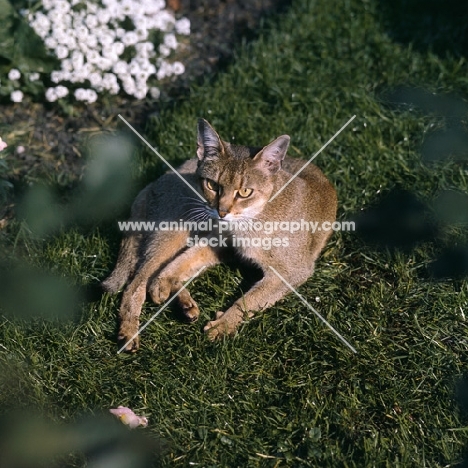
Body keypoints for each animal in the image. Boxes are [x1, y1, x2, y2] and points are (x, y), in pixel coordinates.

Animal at [102, 118, 336, 352]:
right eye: (212, 185)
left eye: (245, 192)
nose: (222, 212)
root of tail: (151, 183)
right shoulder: (220, 240)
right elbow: (183, 261)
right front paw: (164, 281)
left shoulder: (290, 270)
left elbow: (251, 298)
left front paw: (223, 324)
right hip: (178, 229)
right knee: (136, 283)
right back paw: (129, 332)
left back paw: (184, 305)